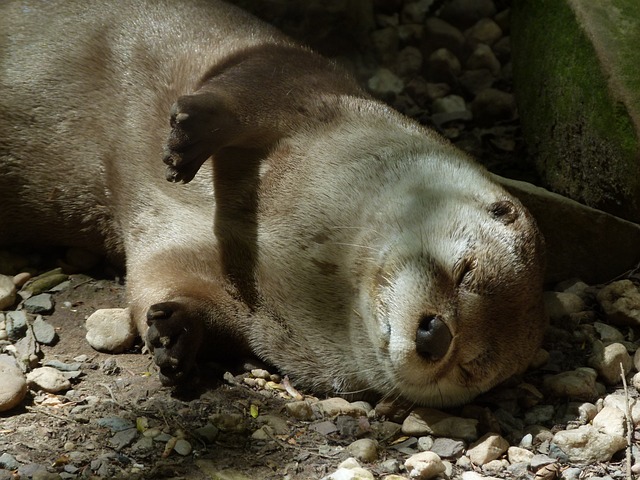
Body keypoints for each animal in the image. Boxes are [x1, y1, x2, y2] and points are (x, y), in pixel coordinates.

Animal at [0, 0, 544, 406]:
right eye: (464, 272)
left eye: (470, 365)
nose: (435, 335)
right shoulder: (298, 82)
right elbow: (245, 89)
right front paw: (188, 137)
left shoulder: (191, 266)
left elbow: (164, 287)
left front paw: (175, 334)